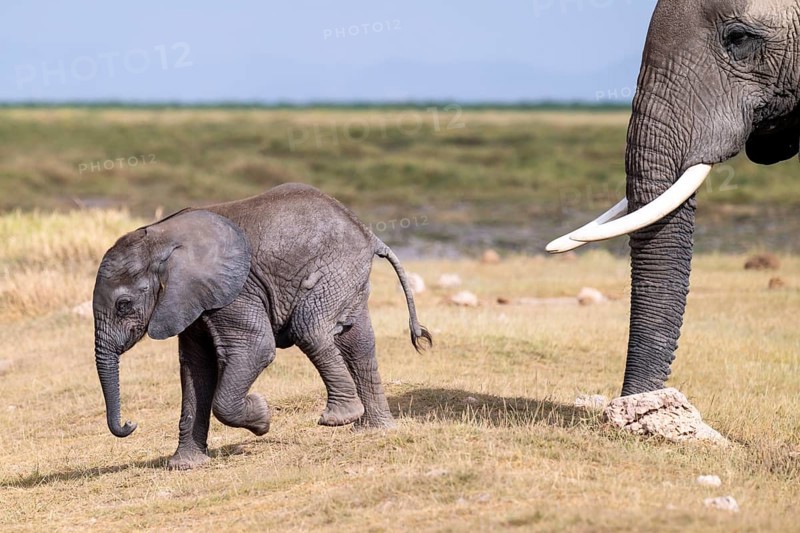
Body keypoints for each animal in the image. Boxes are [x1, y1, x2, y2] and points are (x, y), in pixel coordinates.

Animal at [92, 183, 432, 470]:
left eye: (123, 305)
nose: (130, 424)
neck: (161, 238)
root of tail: (368, 233)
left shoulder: (236, 290)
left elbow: (255, 350)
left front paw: (261, 415)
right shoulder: (189, 299)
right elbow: (195, 367)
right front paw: (184, 466)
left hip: (335, 270)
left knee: (311, 329)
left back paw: (340, 418)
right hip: (347, 277)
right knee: (358, 343)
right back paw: (374, 429)